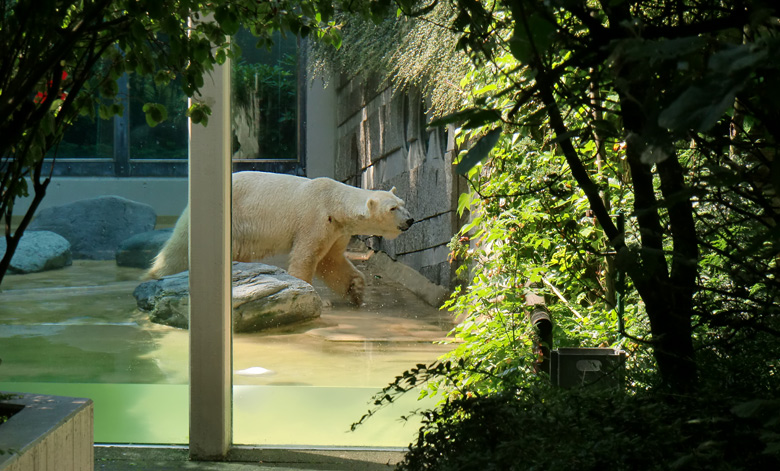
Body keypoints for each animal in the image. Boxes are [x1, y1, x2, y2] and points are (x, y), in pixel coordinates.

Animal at [146, 172, 414, 306]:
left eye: (403, 203)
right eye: (393, 209)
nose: (410, 220)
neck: (335, 202)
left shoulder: (336, 229)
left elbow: (331, 261)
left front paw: (356, 290)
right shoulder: (314, 218)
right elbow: (306, 257)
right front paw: (312, 297)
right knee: (178, 250)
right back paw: (154, 278)